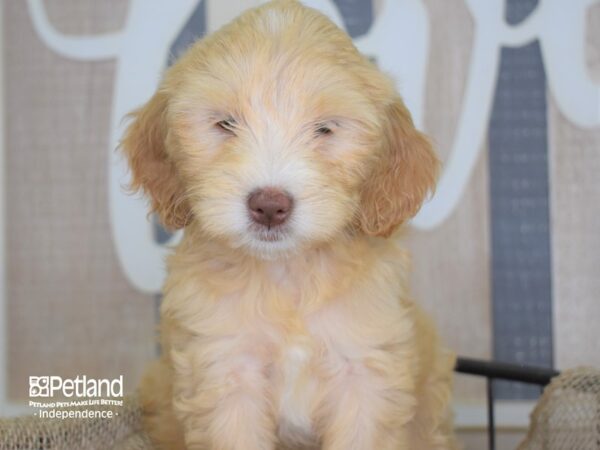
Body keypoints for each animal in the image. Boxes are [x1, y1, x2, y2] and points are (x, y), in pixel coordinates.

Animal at [124, 0, 458, 450]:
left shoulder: (364, 372)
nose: (269, 206)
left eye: (325, 129)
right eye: (226, 124)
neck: (287, 275)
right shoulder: (224, 368)